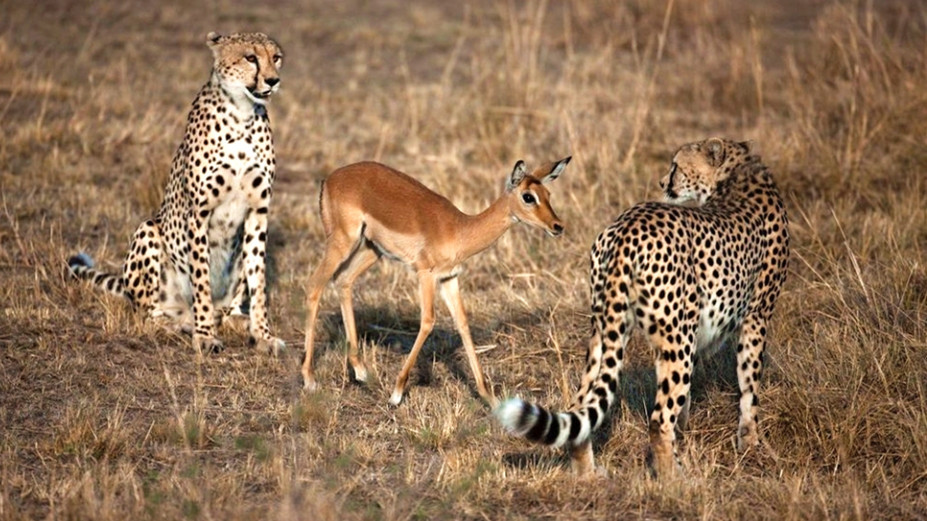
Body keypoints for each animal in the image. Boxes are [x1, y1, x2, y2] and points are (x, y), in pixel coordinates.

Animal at [68, 32, 284, 354]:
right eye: (250, 58)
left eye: (276, 57)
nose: (273, 80)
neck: (241, 114)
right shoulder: (199, 212)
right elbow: (201, 279)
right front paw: (204, 335)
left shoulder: (258, 213)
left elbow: (258, 282)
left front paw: (263, 335)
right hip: (148, 231)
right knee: (147, 314)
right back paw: (179, 324)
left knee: (228, 304)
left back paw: (233, 319)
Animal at [496, 137, 792, 476]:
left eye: (676, 166)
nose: (663, 183)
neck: (736, 174)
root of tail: (628, 226)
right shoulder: (756, 317)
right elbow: (748, 386)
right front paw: (752, 445)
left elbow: (687, 401)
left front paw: (689, 434)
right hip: (677, 337)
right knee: (659, 419)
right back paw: (675, 480)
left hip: (606, 329)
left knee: (581, 405)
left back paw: (588, 475)